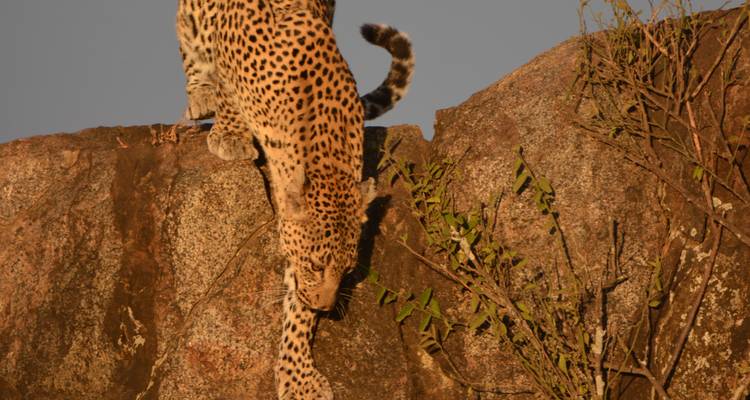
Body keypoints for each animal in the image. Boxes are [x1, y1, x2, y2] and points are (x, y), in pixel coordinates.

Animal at [175, 1, 413, 398]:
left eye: (347, 270)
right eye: (317, 266)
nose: (327, 307)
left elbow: (296, 304)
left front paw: (298, 375)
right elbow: (227, 89)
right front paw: (229, 133)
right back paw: (201, 97)